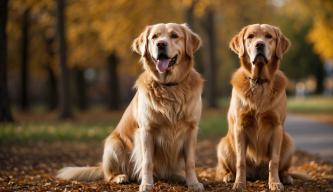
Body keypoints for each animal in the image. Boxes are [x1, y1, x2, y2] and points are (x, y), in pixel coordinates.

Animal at [56, 23, 205, 192]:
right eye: (154, 37)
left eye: (174, 35)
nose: (160, 44)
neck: (170, 86)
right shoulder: (146, 130)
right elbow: (147, 162)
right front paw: (146, 184)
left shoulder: (191, 129)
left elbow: (190, 162)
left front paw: (193, 182)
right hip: (113, 145)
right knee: (109, 174)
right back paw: (121, 177)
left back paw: (180, 177)